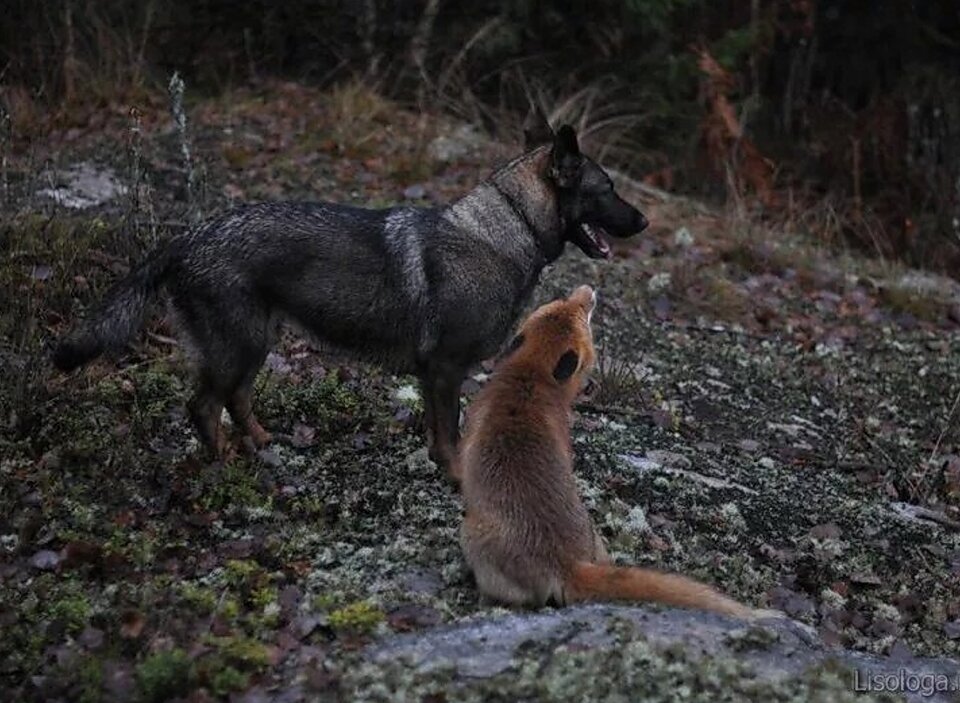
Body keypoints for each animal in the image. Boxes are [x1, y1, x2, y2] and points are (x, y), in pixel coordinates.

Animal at [56, 108, 648, 468]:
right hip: (236, 346)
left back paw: (265, 444)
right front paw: (455, 477)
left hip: (255, 342)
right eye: (607, 189)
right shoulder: (445, 369)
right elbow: (451, 436)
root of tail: (188, 236)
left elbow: (436, 432)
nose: (644, 222)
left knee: (237, 399)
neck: (506, 229)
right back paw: (224, 461)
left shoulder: (435, 375)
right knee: (203, 407)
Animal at [460, 284, 772, 616]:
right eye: (562, 303)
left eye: (581, 314)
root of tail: (569, 564)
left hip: (470, 533)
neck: (530, 377)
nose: (587, 290)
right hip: (594, 535)